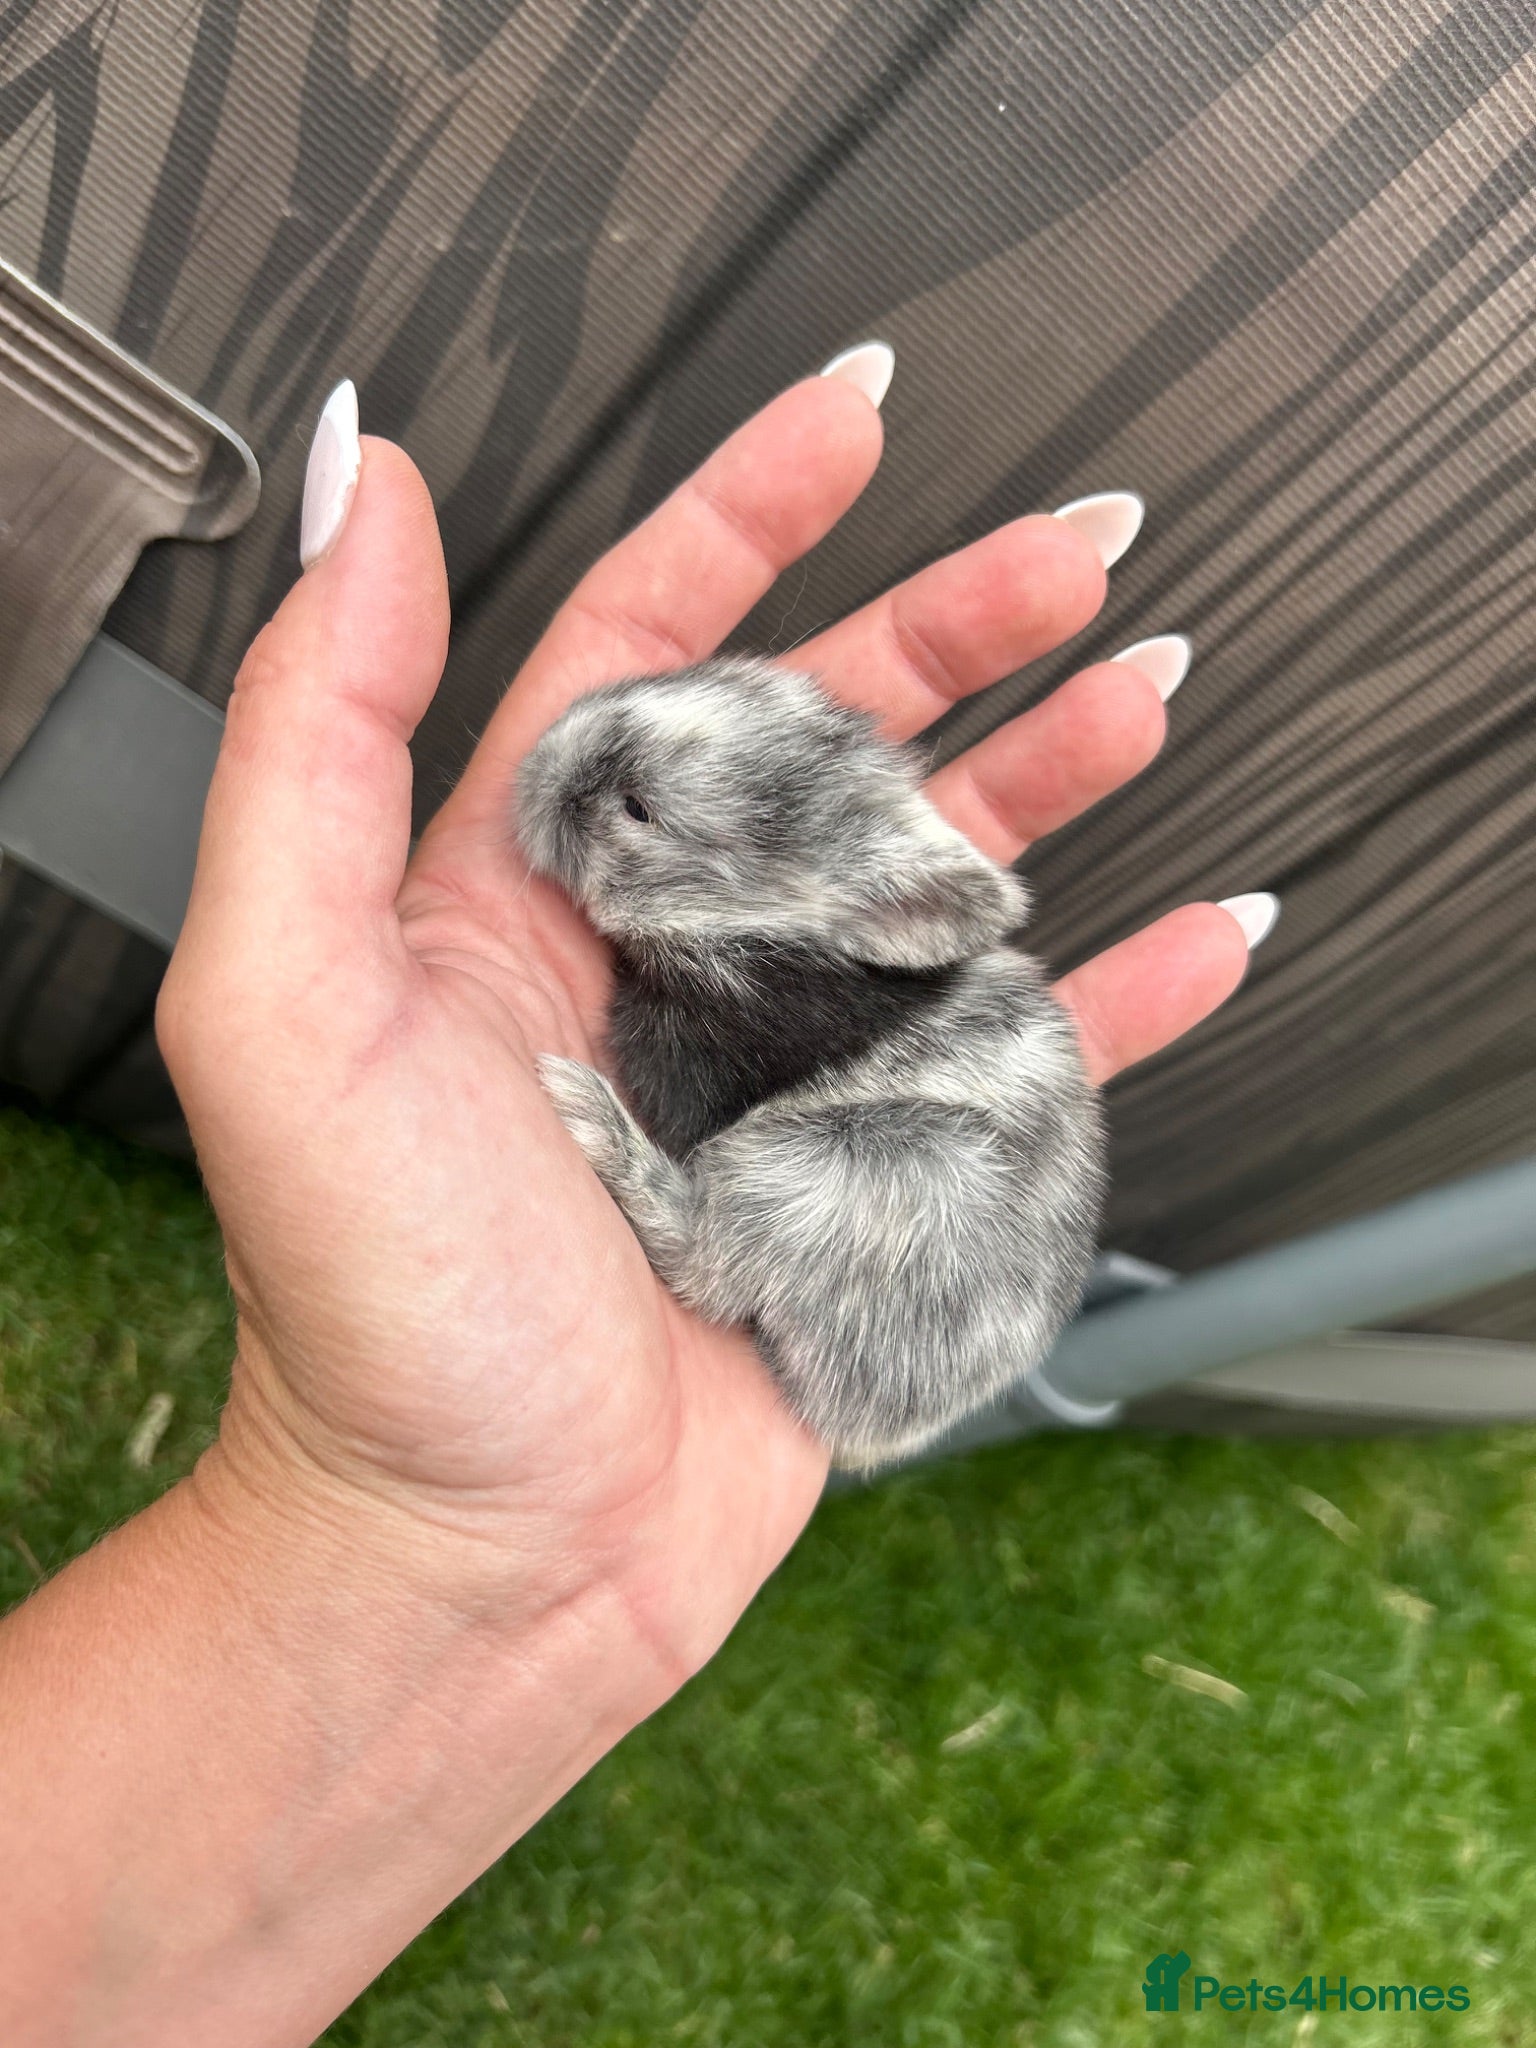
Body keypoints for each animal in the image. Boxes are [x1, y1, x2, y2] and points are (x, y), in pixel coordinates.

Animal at [515, 655, 1105, 1468]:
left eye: (637, 809)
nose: (536, 760)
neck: (757, 934)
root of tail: (866, 1432)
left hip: (826, 1167)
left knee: (701, 1263)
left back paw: (581, 1103)